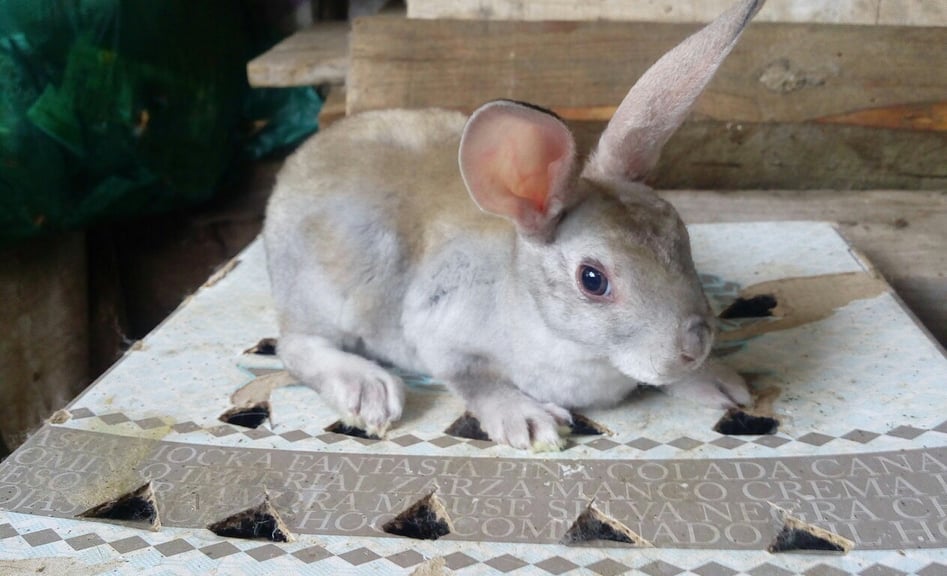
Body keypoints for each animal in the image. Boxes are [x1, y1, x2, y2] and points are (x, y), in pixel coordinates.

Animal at [264, 0, 763, 450]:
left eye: (681, 235)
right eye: (593, 280)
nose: (695, 345)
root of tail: (289, 176)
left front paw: (721, 383)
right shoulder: (437, 334)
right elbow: (475, 382)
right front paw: (529, 422)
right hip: (329, 296)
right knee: (295, 346)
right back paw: (369, 390)